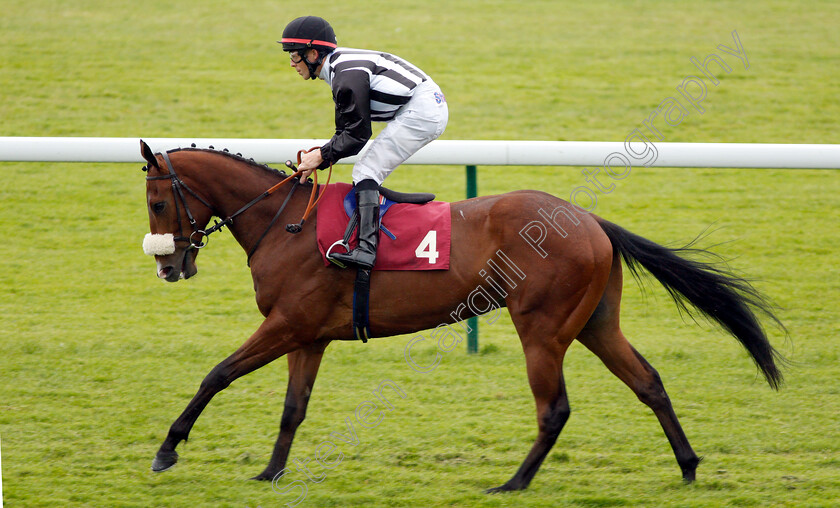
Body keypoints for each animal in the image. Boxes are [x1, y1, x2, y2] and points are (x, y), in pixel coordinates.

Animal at [139, 140, 788, 492]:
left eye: (157, 200)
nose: (169, 267)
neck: (285, 222)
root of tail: (590, 220)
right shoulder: (308, 336)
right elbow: (293, 408)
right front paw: (272, 472)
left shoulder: (286, 325)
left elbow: (218, 374)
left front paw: (168, 449)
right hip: (596, 324)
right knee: (649, 382)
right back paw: (688, 466)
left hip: (543, 328)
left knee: (554, 408)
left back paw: (514, 482)